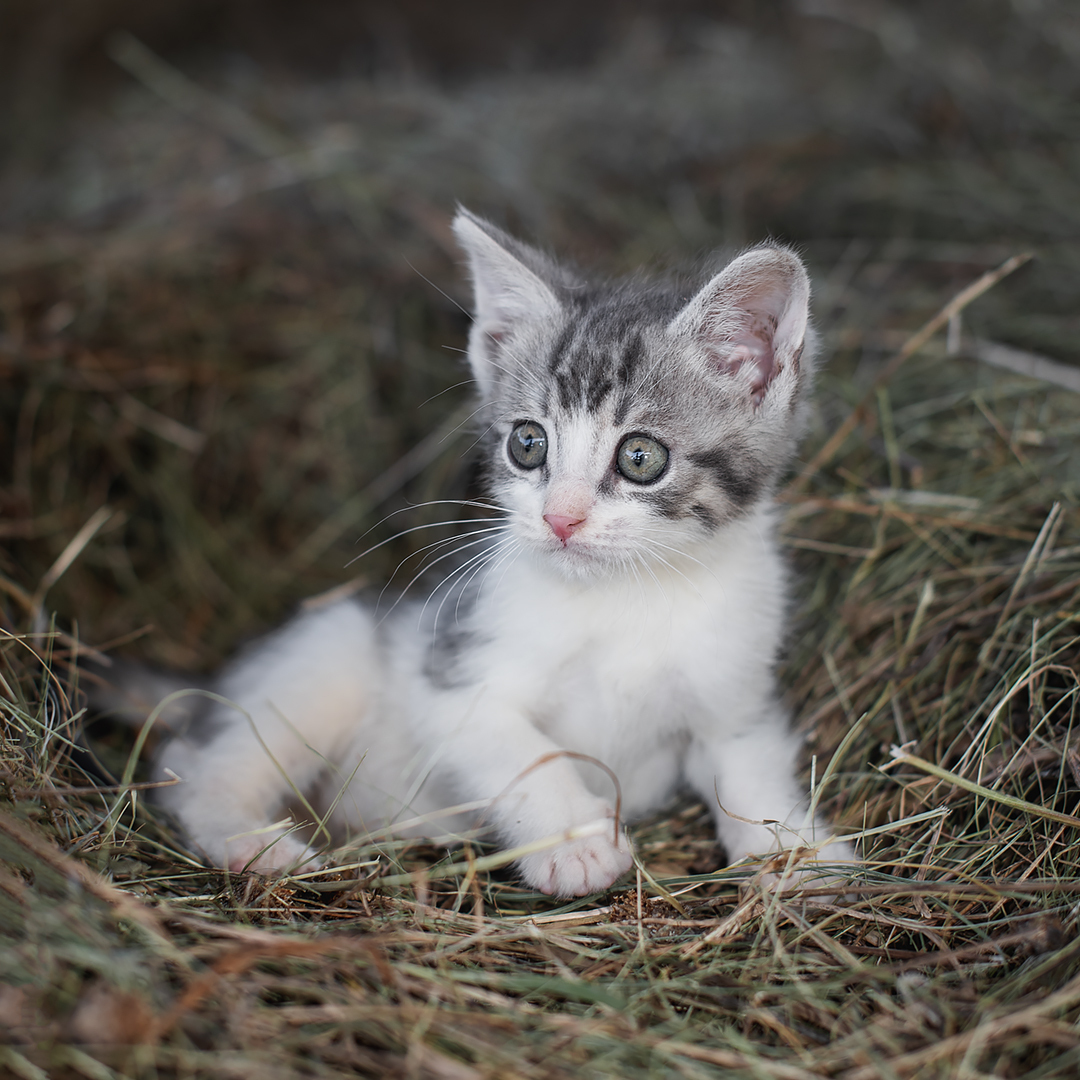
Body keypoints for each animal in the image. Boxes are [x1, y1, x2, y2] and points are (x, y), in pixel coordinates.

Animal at [107, 208, 851, 894]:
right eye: (528, 443)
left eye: (641, 457)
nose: (559, 519)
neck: (624, 594)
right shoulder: (451, 670)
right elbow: (523, 750)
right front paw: (577, 843)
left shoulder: (736, 694)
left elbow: (747, 767)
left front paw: (796, 851)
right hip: (325, 651)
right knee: (195, 767)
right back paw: (254, 844)